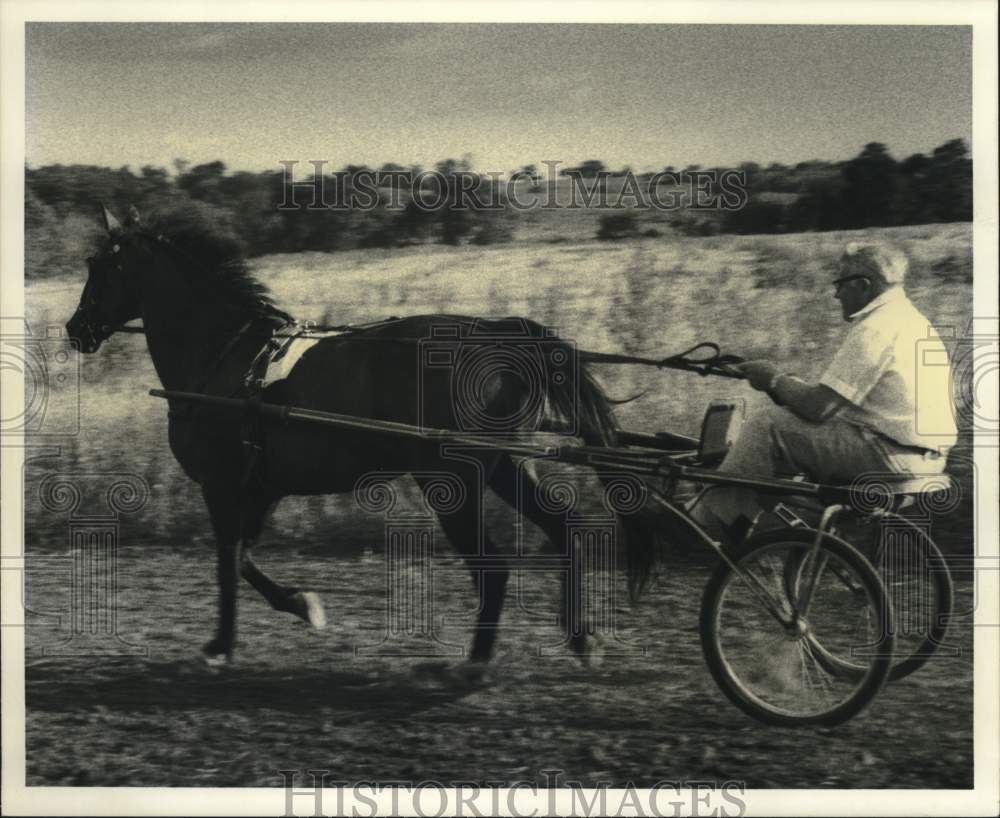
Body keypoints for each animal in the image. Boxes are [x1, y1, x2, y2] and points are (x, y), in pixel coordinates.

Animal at [64, 206, 664, 676]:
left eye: (100, 267)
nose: (76, 329)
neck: (226, 359)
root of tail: (500, 336)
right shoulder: (260, 488)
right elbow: (246, 560)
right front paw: (302, 604)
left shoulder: (222, 485)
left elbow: (228, 562)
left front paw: (222, 644)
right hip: (503, 467)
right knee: (563, 530)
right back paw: (580, 636)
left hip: (453, 481)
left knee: (493, 565)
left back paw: (476, 660)